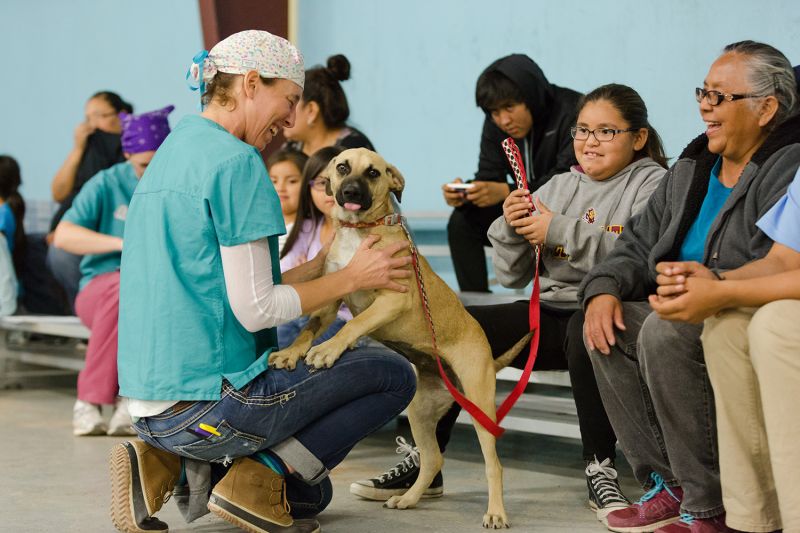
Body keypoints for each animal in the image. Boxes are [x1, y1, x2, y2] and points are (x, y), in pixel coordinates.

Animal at [270, 148, 532, 524]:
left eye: (373, 173)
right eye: (342, 167)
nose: (350, 192)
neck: (361, 230)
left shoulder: (393, 298)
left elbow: (354, 324)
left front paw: (329, 349)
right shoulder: (331, 299)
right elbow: (308, 329)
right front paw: (291, 352)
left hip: (480, 405)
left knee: (493, 465)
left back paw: (495, 512)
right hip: (420, 412)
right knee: (434, 458)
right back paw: (408, 498)